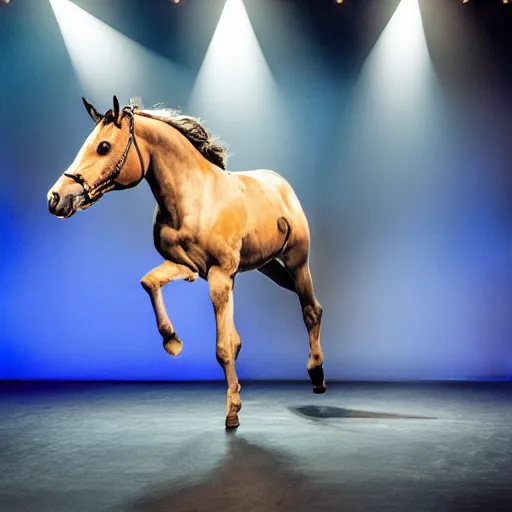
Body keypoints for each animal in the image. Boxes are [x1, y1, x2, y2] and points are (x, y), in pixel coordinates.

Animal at [49, 95, 328, 428]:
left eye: (103, 146)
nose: (56, 198)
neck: (193, 199)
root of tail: (281, 183)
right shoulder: (190, 269)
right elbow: (149, 282)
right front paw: (172, 341)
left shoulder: (219, 275)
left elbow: (223, 348)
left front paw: (232, 411)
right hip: (266, 266)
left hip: (296, 261)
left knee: (311, 310)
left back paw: (317, 376)